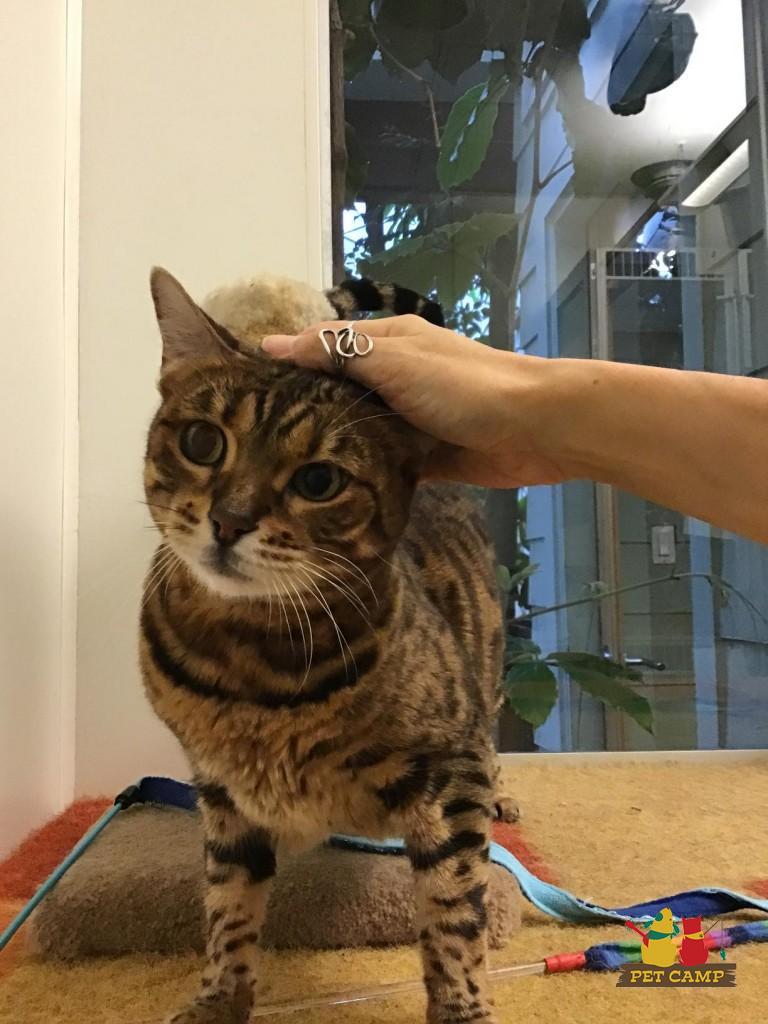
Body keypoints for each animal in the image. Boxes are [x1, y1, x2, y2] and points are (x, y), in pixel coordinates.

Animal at [141, 267, 514, 1024]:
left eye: (319, 481)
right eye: (201, 441)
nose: (229, 521)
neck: (250, 672)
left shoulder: (453, 767)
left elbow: (455, 906)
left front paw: (460, 1008)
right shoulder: (221, 796)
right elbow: (228, 906)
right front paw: (220, 999)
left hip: (486, 691)